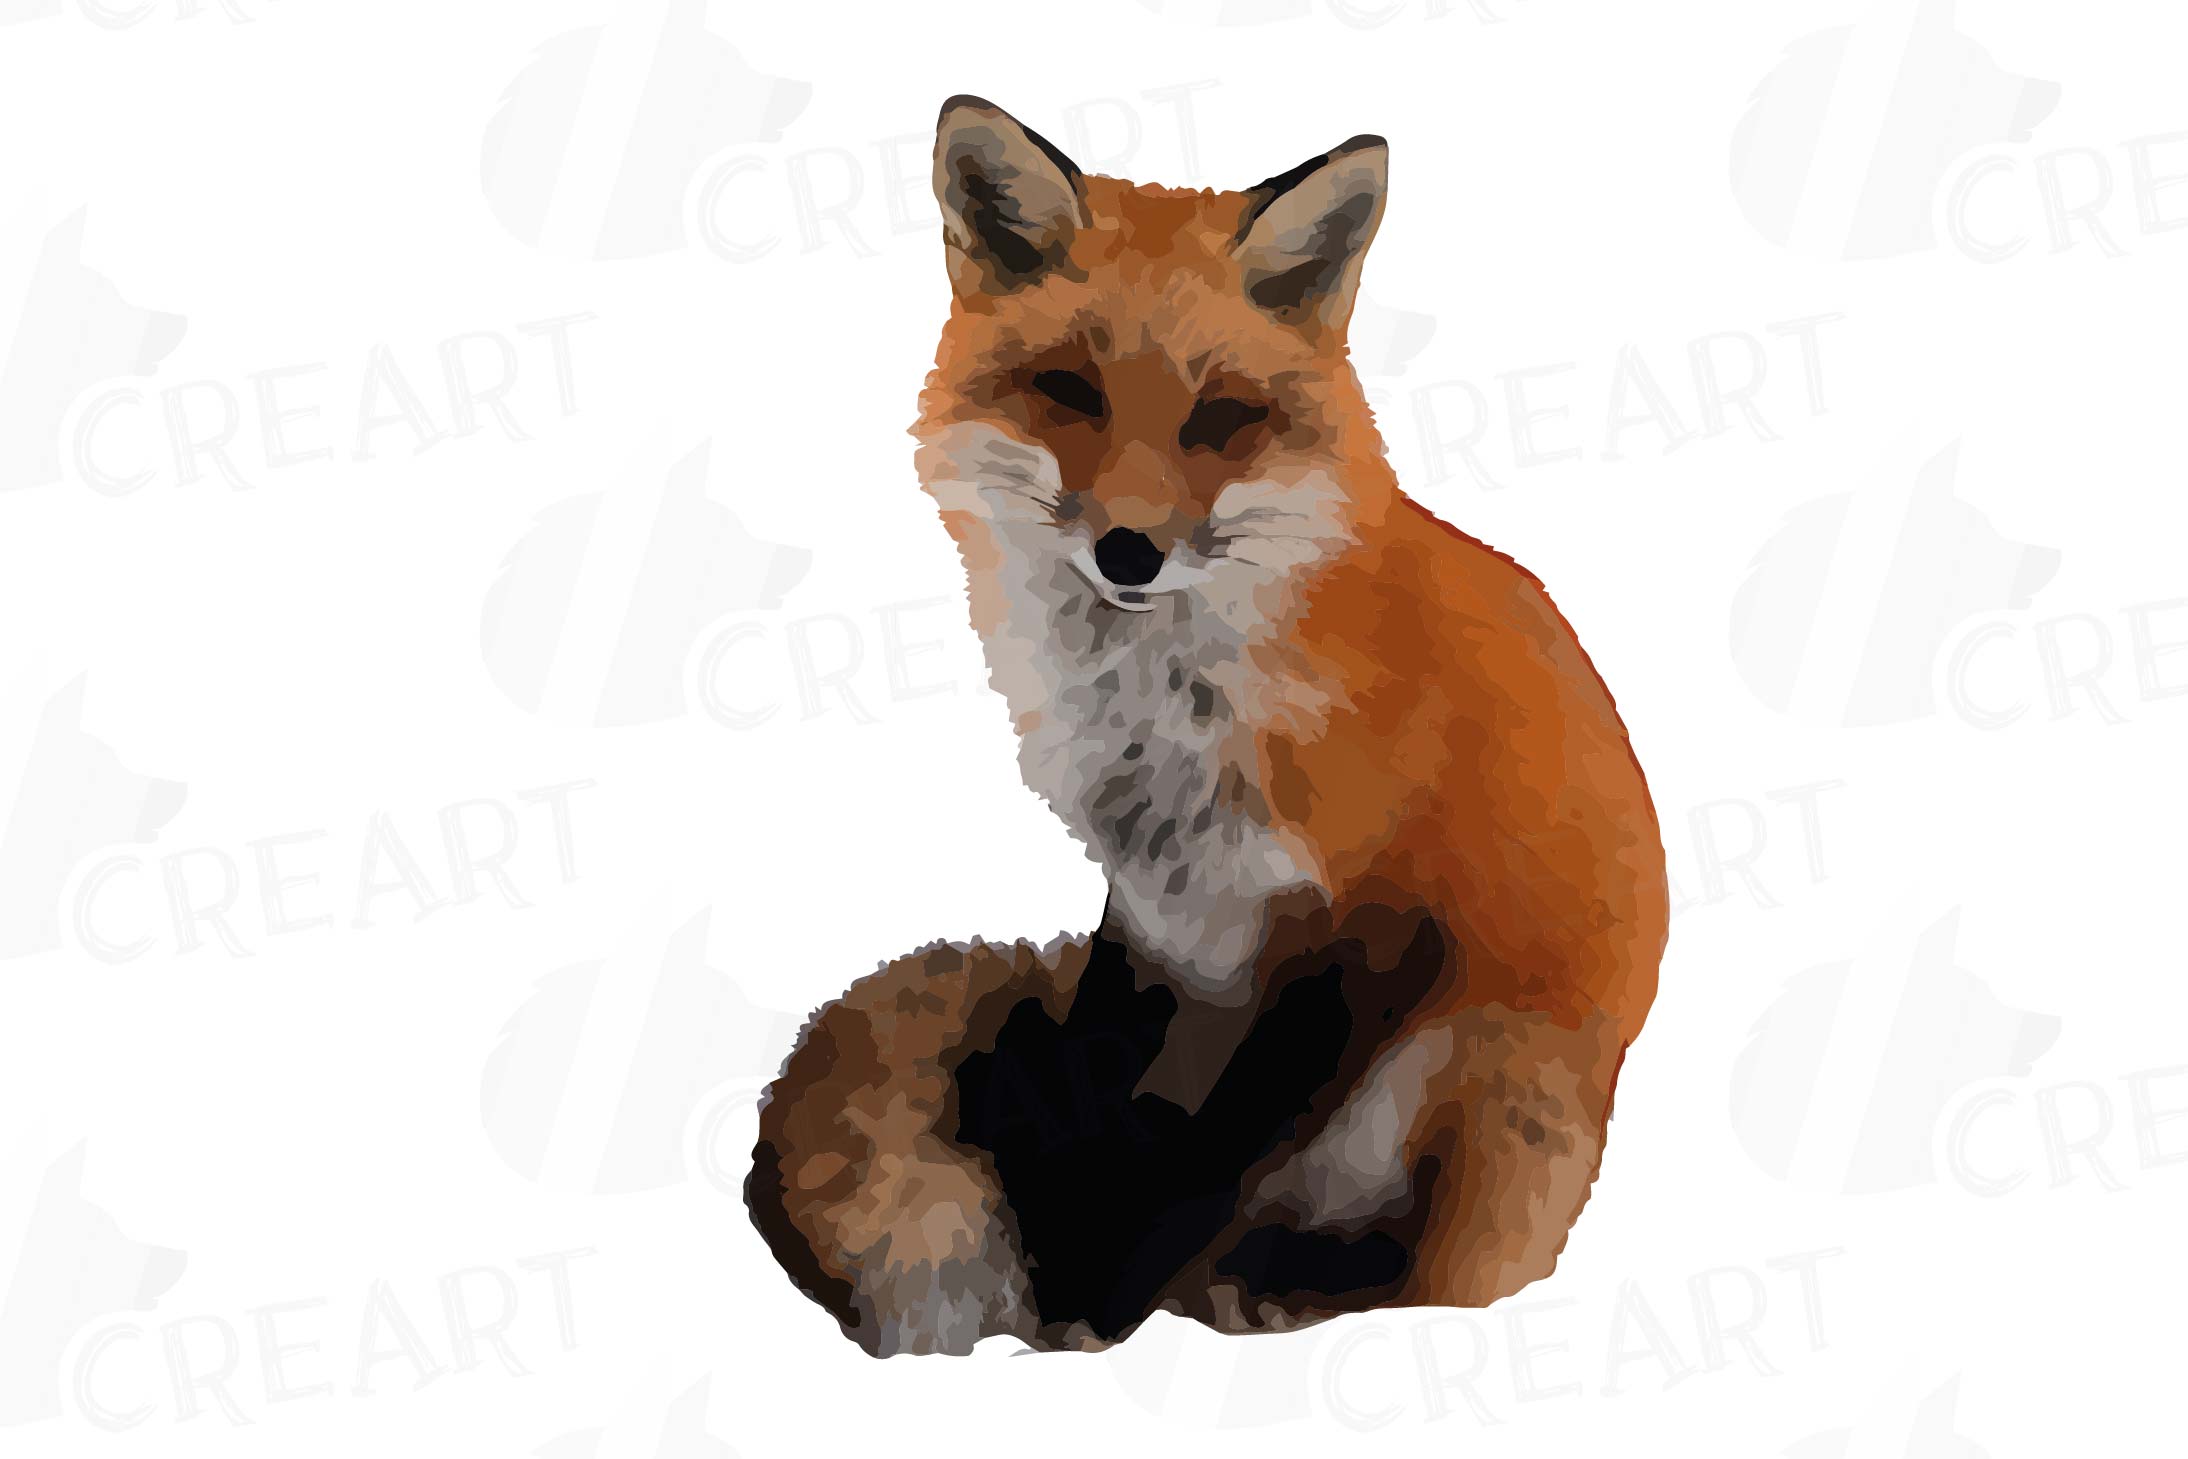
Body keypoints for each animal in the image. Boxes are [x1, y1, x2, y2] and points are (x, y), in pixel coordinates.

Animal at [746, 96, 1668, 1357]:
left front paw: (1088, 1319)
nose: (1129, 550)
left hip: (1501, 1073)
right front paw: (1055, 1287)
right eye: (1070, 391)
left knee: (1434, 1279)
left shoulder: (1362, 928)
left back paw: (1288, 1297)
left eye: (1222, 419)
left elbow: (1206, 1167)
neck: (1173, 709)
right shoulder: (1150, 909)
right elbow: (1102, 1106)